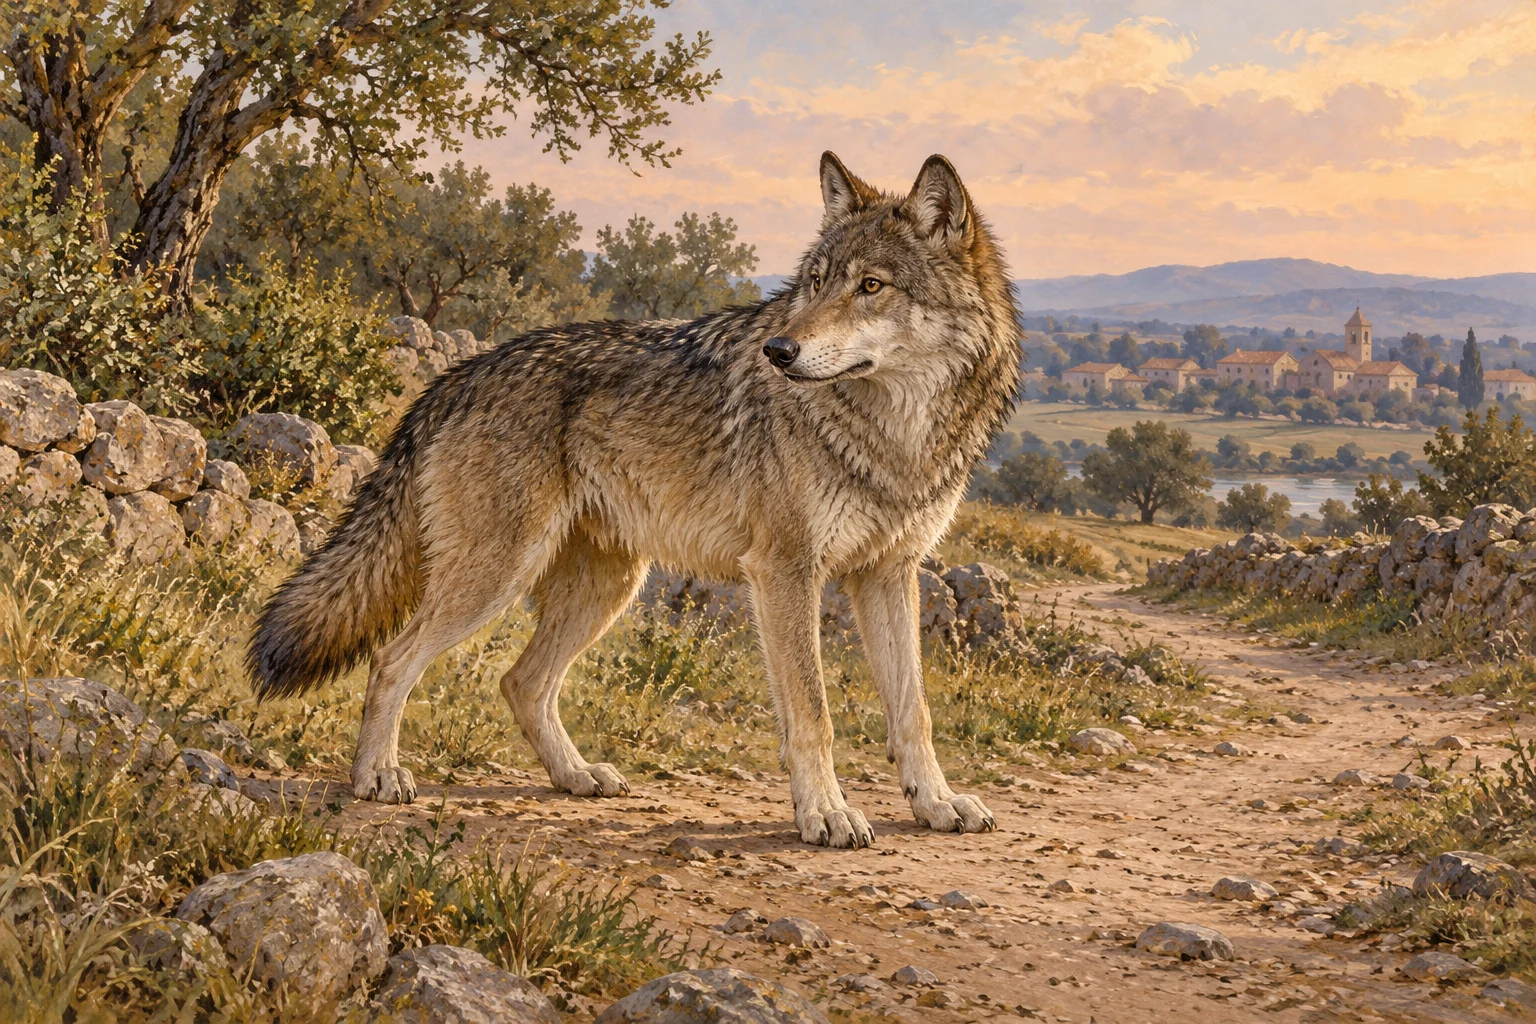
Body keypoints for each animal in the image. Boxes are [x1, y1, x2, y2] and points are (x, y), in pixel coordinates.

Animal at [249, 151, 1022, 848]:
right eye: (815, 283)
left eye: (871, 286)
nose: (778, 351)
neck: (895, 435)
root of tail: (457, 375)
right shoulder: (785, 572)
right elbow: (814, 713)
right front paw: (826, 815)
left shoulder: (889, 574)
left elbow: (914, 711)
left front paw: (937, 803)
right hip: (496, 579)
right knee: (393, 661)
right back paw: (376, 776)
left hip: (607, 586)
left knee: (520, 682)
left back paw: (575, 775)